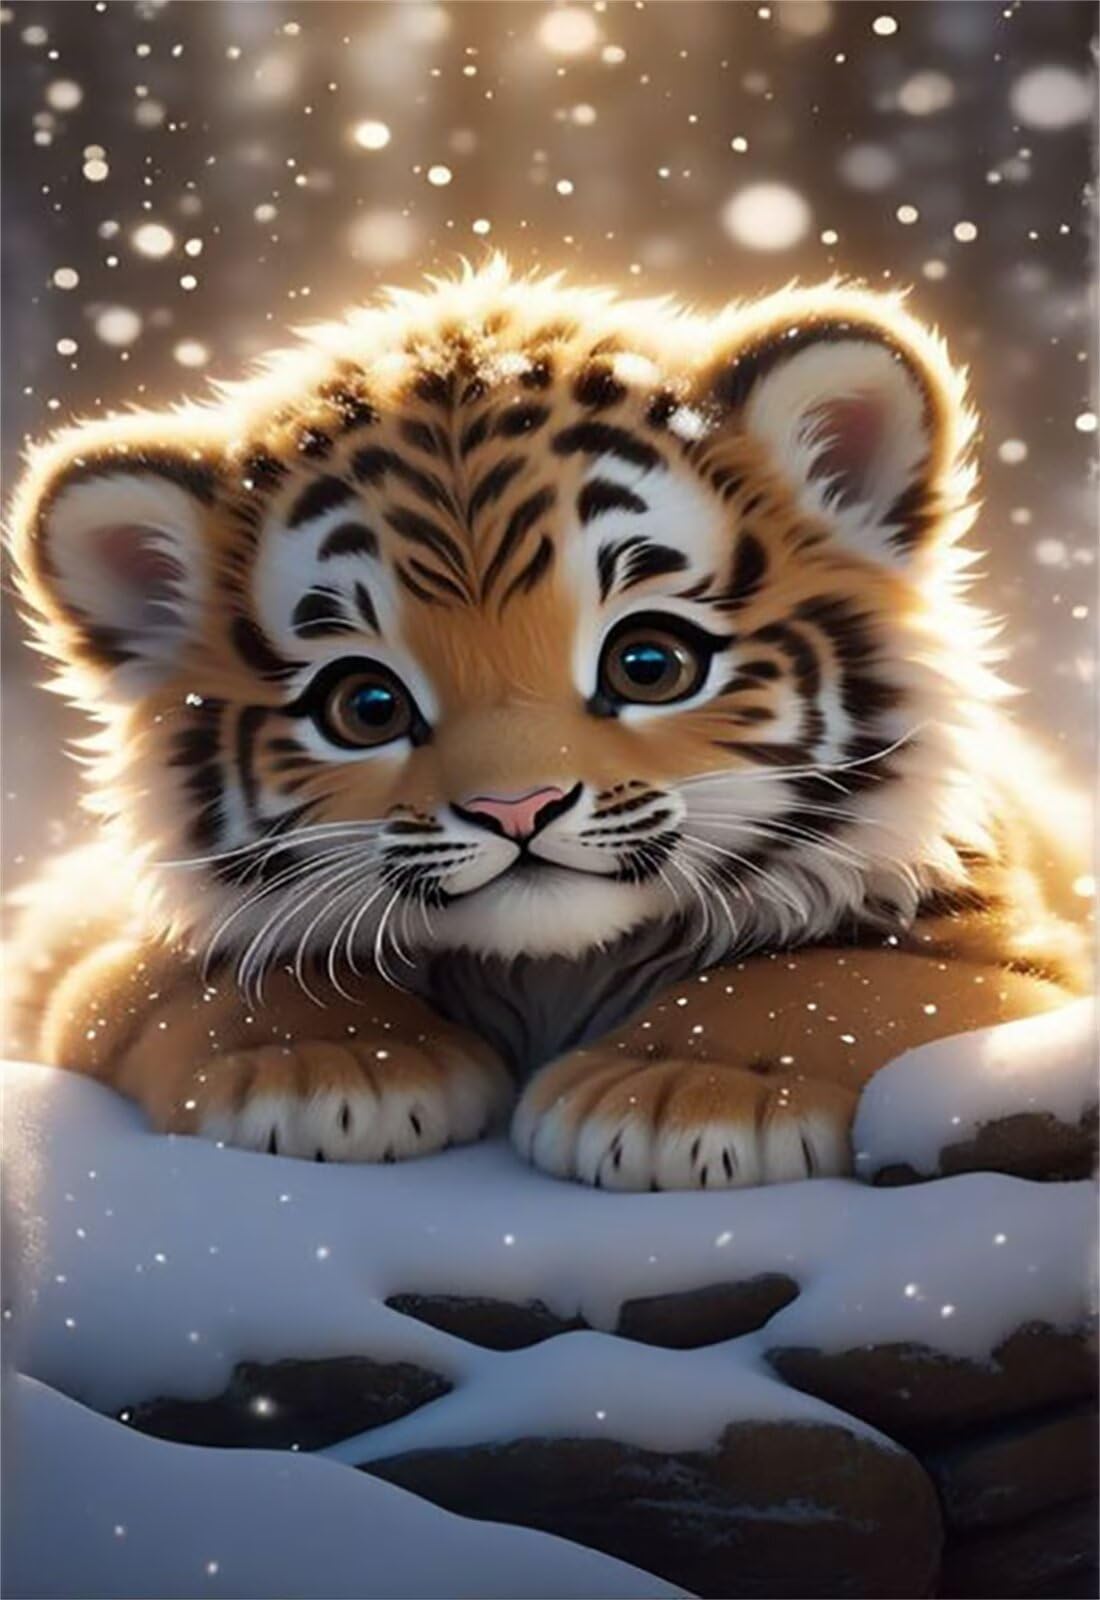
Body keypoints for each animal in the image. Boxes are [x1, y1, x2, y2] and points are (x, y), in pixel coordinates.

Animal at [5, 258, 1089, 1190]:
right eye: (366, 707)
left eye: (647, 663)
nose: (514, 807)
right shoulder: (97, 951)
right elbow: (204, 981)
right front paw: (331, 1063)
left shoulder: (1024, 958)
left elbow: (842, 981)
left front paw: (679, 1094)